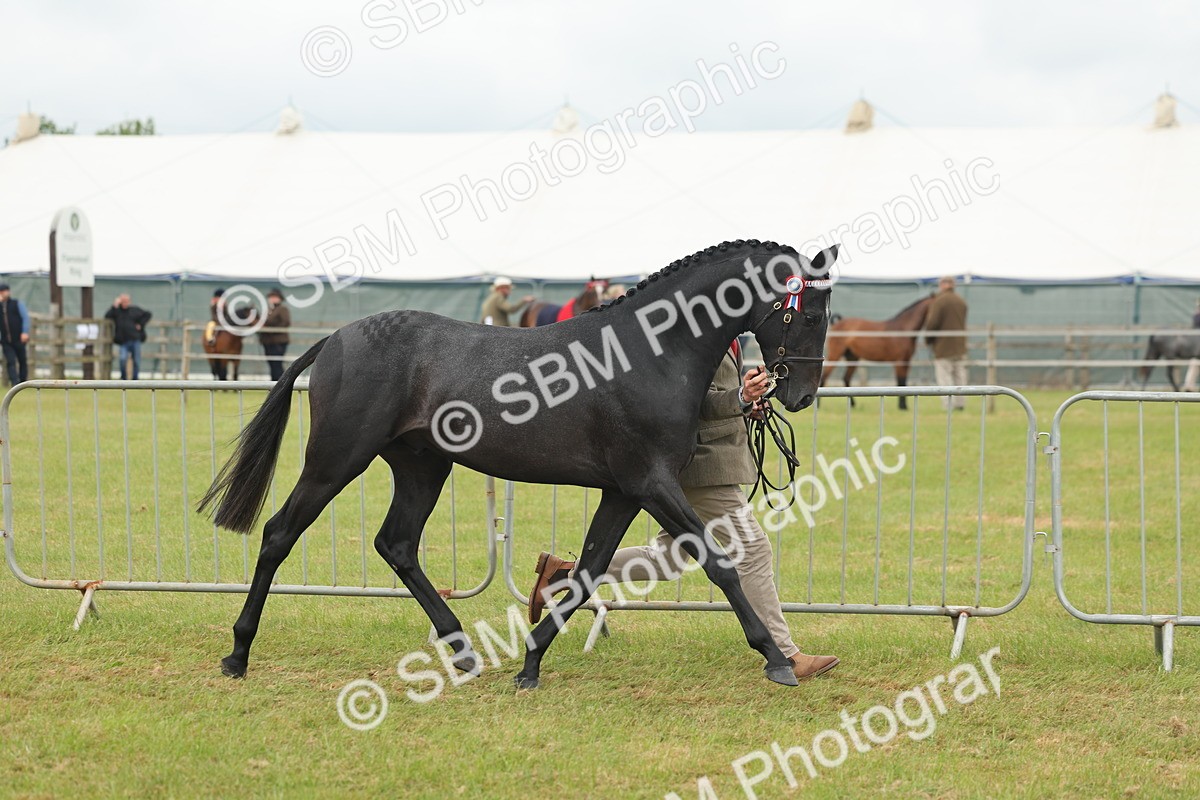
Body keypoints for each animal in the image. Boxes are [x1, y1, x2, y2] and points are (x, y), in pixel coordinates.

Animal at [198, 239, 837, 690]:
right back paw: (237, 653)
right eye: (809, 314)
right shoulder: (651, 483)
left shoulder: (623, 491)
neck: (648, 352)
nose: (801, 394)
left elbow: (588, 570)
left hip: (422, 467)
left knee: (396, 544)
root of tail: (335, 339)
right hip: (335, 459)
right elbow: (721, 564)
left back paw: (462, 651)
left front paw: (529, 663)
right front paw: (777, 659)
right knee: (280, 533)